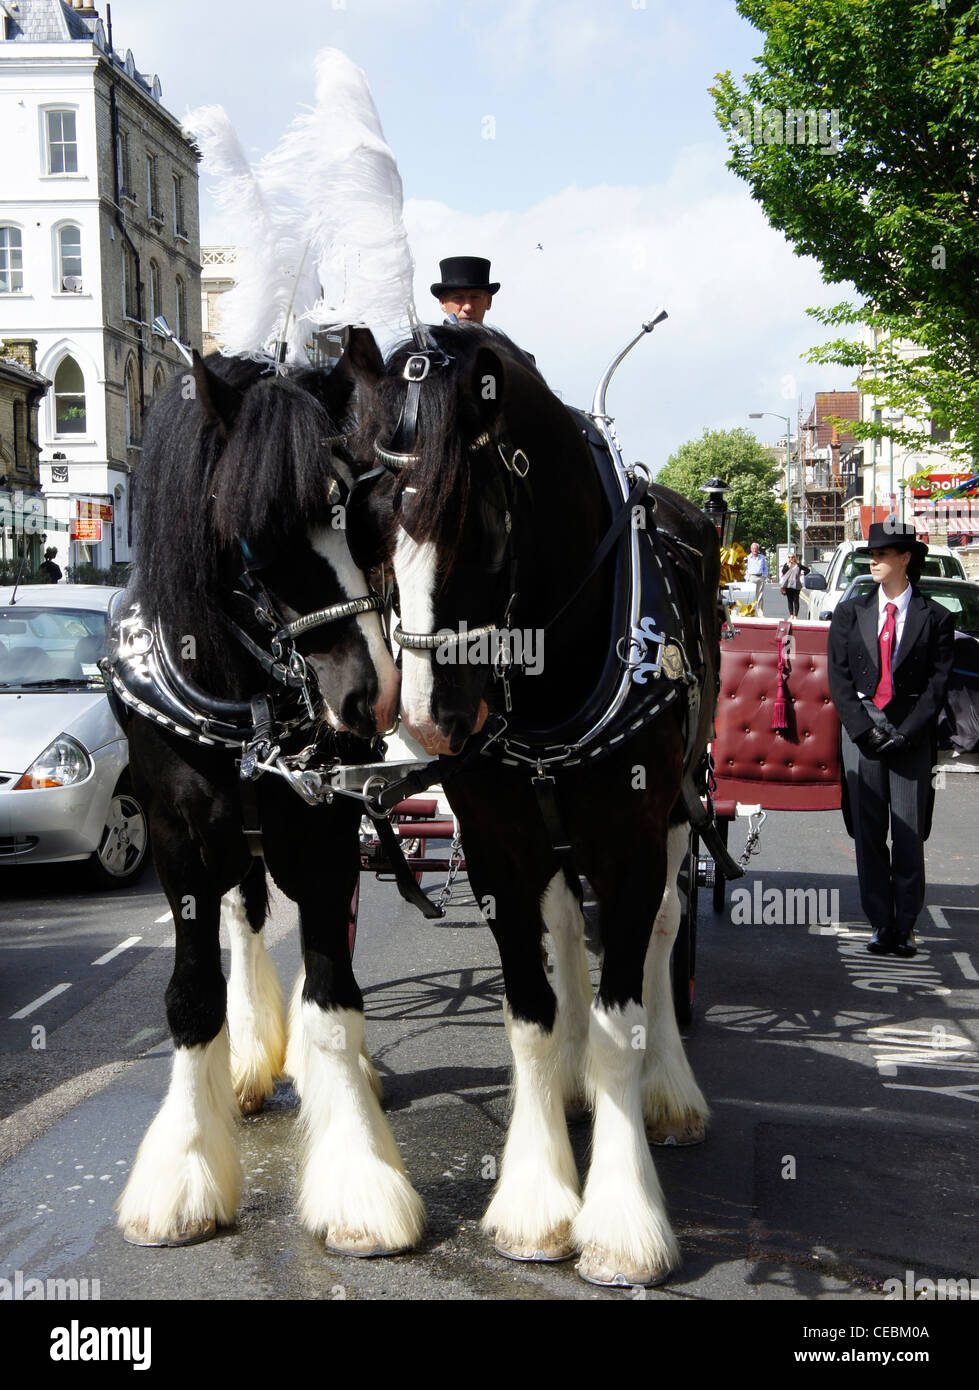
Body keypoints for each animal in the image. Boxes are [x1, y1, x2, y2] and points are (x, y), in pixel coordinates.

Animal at [111, 341, 425, 1256]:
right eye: (258, 528)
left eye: (361, 515)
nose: (370, 697)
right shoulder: (177, 845)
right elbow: (190, 998)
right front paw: (182, 1171)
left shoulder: (325, 837)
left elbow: (334, 995)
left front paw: (358, 1176)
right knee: (246, 912)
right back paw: (249, 1057)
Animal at [350, 322, 717, 1278]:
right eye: (367, 527)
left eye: (474, 527)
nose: (426, 719)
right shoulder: (497, 847)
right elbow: (530, 1011)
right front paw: (535, 1199)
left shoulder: (629, 842)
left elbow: (624, 1015)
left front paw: (620, 1221)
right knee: (566, 937)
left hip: (676, 811)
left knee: (664, 930)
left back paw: (669, 1091)